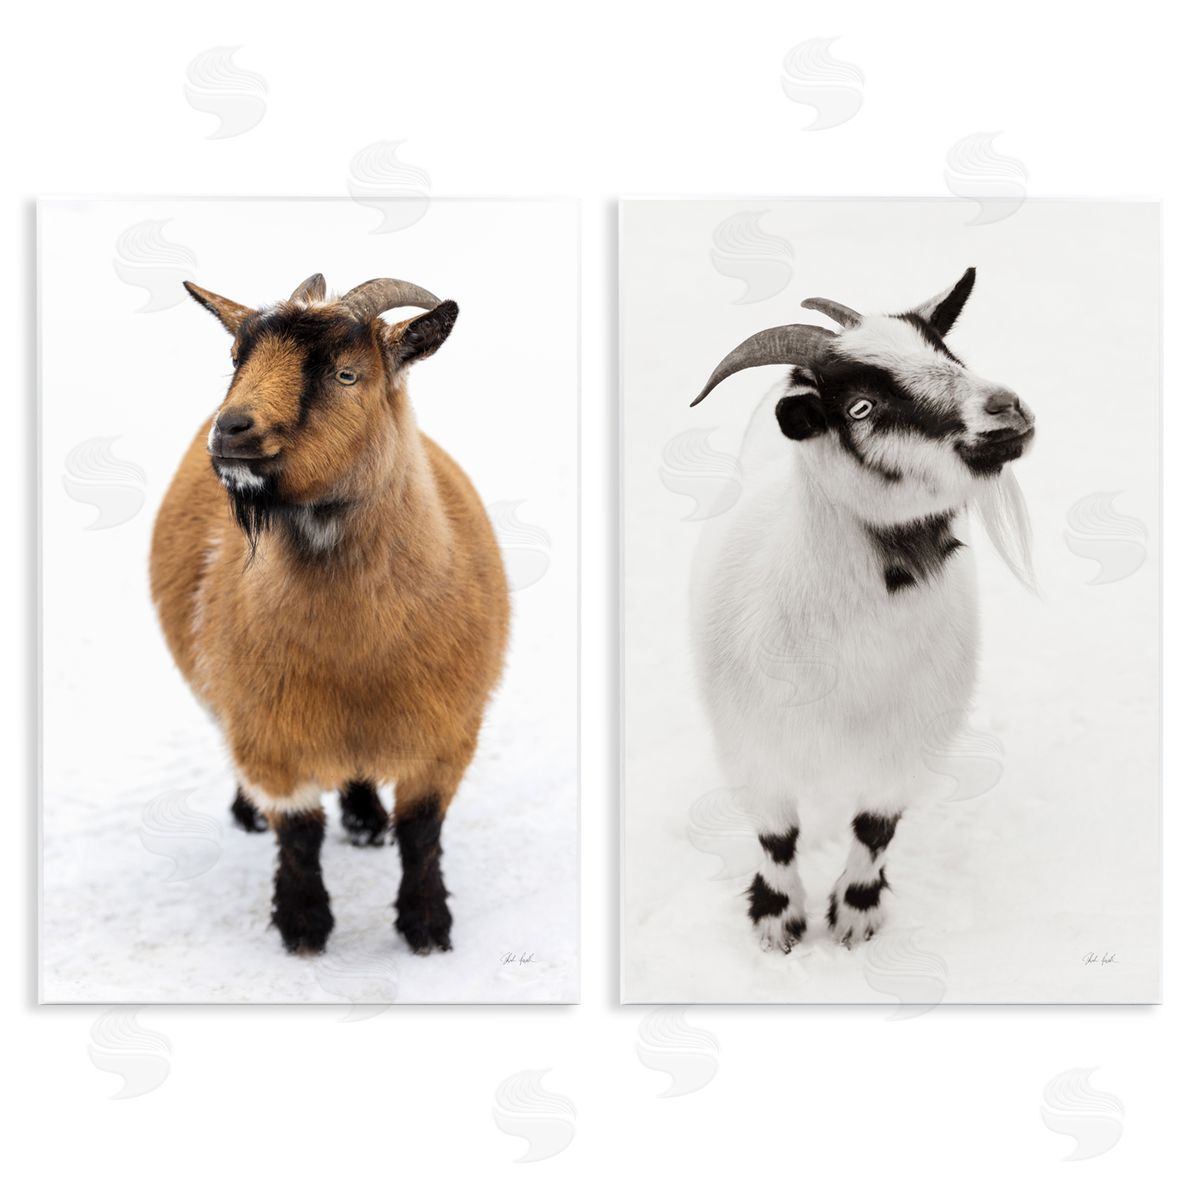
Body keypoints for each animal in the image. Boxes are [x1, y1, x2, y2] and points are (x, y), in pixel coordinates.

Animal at [150, 273, 509, 955]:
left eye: (347, 374)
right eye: (236, 358)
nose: (231, 430)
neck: (356, 656)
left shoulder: (448, 733)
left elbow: (422, 833)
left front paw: (427, 928)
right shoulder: (269, 733)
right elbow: (299, 834)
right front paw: (304, 927)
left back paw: (366, 818)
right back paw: (250, 815)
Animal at [688, 268, 1034, 951]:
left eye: (948, 354)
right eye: (861, 407)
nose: (1006, 408)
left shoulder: (907, 748)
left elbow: (875, 831)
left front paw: (854, 916)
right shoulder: (750, 748)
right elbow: (776, 837)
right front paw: (777, 922)